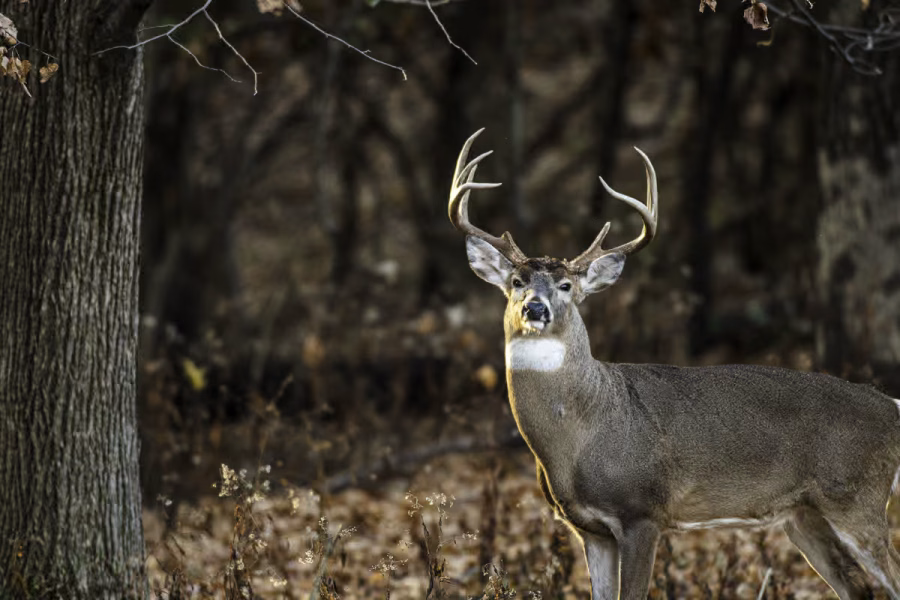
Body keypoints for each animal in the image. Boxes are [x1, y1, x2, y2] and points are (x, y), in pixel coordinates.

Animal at [448, 128, 900, 600]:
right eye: (516, 281)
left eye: (567, 285)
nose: (535, 308)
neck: (578, 435)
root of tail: (892, 406)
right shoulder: (589, 529)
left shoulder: (642, 511)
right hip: (803, 514)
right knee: (856, 587)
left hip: (858, 497)